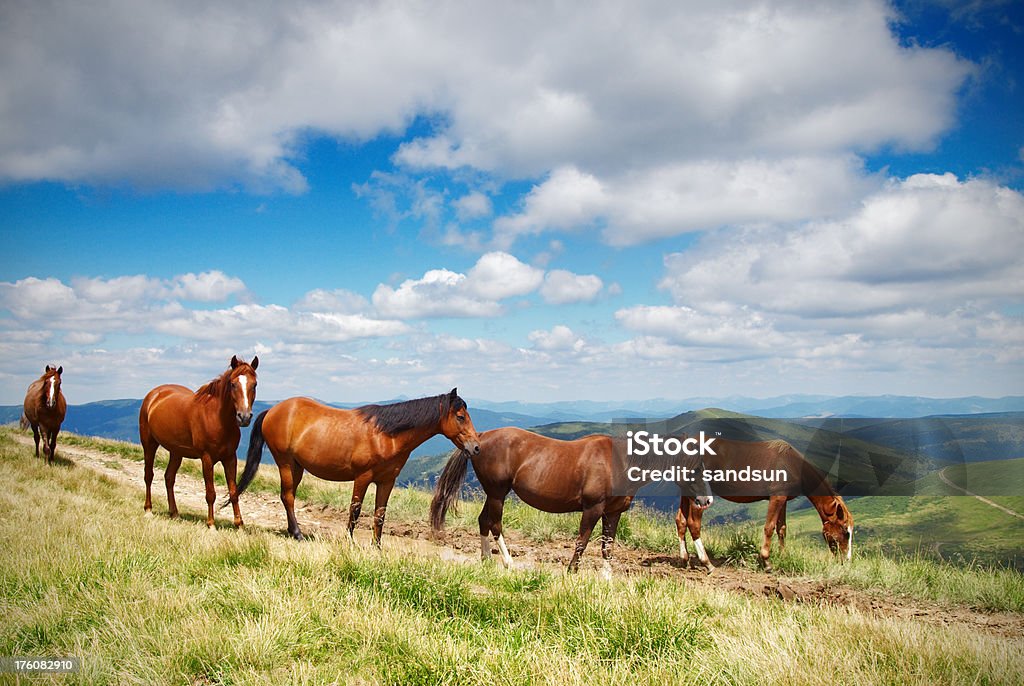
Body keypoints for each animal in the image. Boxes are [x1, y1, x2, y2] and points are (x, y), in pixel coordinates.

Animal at [139, 358, 260, 528]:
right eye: (233, 384)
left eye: (254, 384)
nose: (244, 417)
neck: (217, 418)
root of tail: (154, 395)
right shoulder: (207, 458)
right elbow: (210, 493)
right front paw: (211, 524)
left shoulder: (230, 458)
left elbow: (234, 491)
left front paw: (239, 524)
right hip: (149, 444)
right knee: (149, 475)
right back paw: (148, 510)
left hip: (176, 452)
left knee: (169, 478)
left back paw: (174, 513)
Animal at [235, 389, 479, 544]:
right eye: (460, 417)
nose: (476, 447)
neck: (385, 435)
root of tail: (272, 411)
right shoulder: (362, 477)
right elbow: (355, 510)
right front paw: (349, 541)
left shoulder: (386, 481)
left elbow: (380, 514)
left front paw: (377, 547)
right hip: (285, 463)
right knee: (288, 496)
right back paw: (297, 534)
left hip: (296, 467)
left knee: (289, 496)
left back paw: (292, 531)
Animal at [430, 430, 712, 581]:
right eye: (696, 467)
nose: (706, 501)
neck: (620, 462)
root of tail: (480, 439)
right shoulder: (593, 509)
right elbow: (582, 541)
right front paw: (572, 571)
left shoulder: (613, 512)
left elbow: (607, 546)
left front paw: (607, 577)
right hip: (498, 493)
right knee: (495, 524)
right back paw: (508, 562)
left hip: (492, 494)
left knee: (483, 521)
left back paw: (487, 559)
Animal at [675, 440, 851, 573]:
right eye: (846, 532)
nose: (847, 560)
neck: (792, 465)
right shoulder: (776, 498)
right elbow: (769, 527)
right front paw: (766, 562)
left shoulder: (783, 499)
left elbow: (782, 528)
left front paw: (783, 556)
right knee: (693, 524)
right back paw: (707, 563)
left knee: (681, 521)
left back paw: (685, 560)